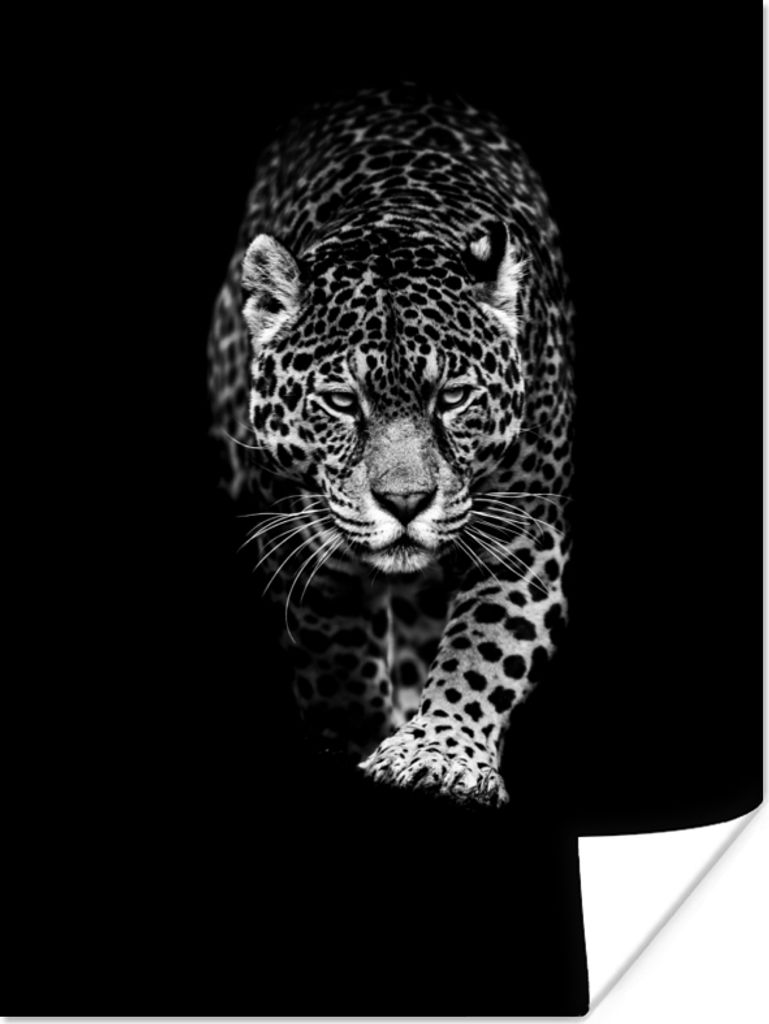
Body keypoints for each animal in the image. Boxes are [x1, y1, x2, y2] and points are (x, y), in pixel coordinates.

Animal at [207, 83, 574, 808]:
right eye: (343, 402)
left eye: (452, 398)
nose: (405, 503)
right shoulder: (299, 542)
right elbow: (334, 654)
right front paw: (353, 737)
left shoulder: (522, 535)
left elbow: (487, 646)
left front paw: (440, 753)